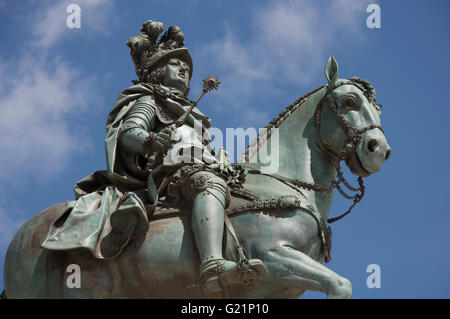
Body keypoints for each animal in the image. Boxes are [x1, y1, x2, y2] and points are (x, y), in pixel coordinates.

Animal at [2, 57, 390, 300]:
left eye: (377, 107)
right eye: (350, 101)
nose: (379, 149)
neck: (282, 184)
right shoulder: (275, 257)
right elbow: (341, 285)